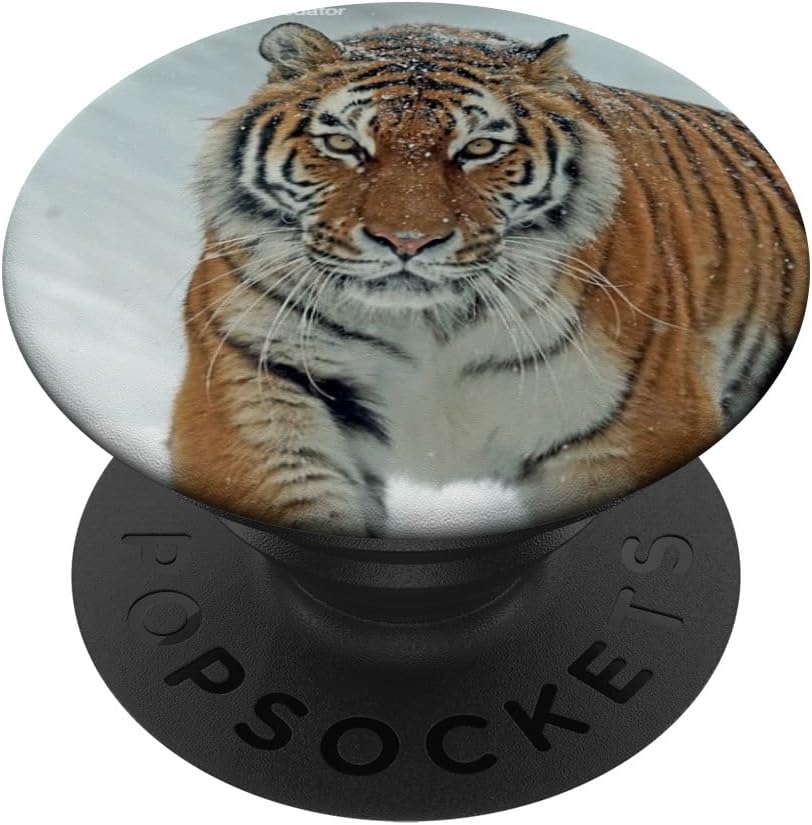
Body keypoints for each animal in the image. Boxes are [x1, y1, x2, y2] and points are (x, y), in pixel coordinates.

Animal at [171, 22, 808, 536]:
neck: (428, 325)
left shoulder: (637, 427)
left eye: (478, 148)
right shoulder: (257, 382)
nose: (407, 241)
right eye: (344, 144)